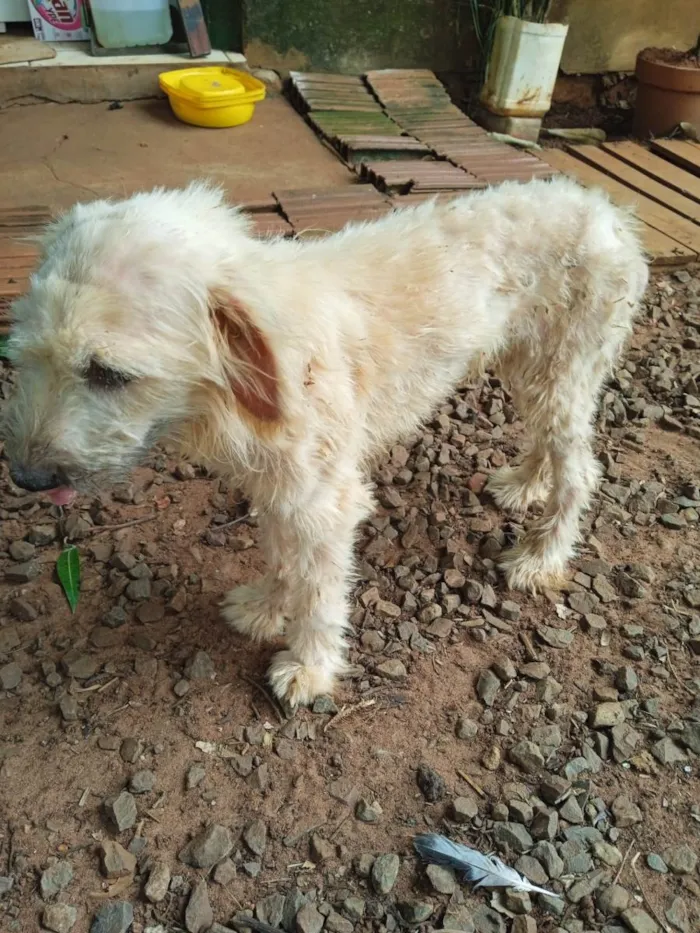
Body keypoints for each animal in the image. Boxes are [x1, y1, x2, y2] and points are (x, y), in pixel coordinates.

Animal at [4, 180, 652, 708]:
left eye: (108, 373)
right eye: (27, 356)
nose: (27, 479)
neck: (250, 373)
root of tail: (607, 210)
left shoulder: (325, 502)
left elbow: (319, 591)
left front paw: (309, 667)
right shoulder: (278, 486)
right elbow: (281, 556)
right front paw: (267, 607)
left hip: (562, 372)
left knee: (582, 469)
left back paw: (544, 555)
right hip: (530, 367)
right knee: (551, 445)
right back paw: (525, 484)